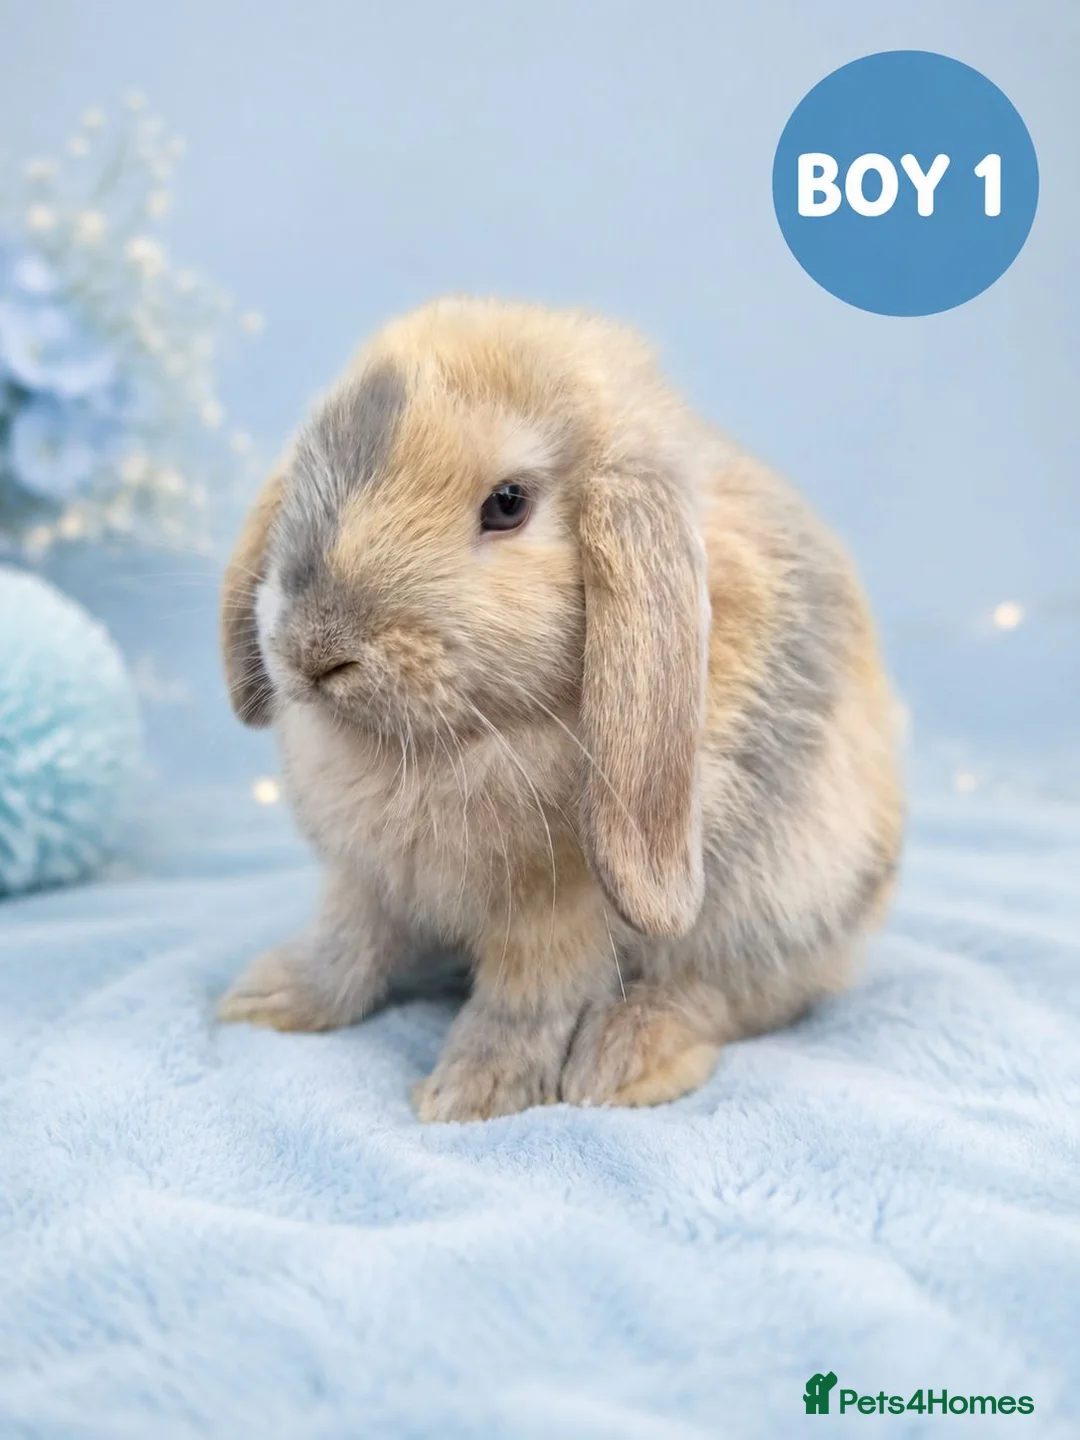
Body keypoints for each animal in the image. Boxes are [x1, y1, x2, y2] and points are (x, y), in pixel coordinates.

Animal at [217, 296, 904, 1122]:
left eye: (508, 504)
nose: (314, 648)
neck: (460, 736)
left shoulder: (563, 914)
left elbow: (525, 1000)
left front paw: (470, 1092)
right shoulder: (365, 883)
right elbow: (346, 946)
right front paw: (266, 1000)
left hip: (785, 906)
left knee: (734, 995)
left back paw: (627, 1056)